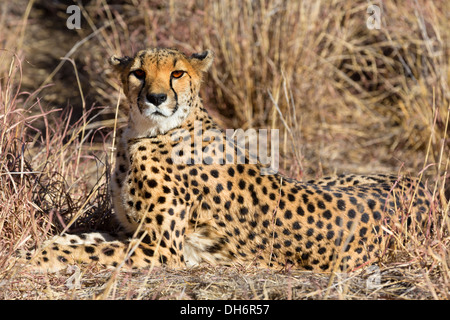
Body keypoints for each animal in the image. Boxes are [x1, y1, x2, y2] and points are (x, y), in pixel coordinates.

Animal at [29, 47, 432, 272]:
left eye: (177, 73)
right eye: (138, 73)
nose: (157, 98)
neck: (148, 131)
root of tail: (420, 184)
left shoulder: (159, 248)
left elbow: (88, 251)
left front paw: (32, 259)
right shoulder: (134, 233)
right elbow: (77, 240)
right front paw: (37, 248)